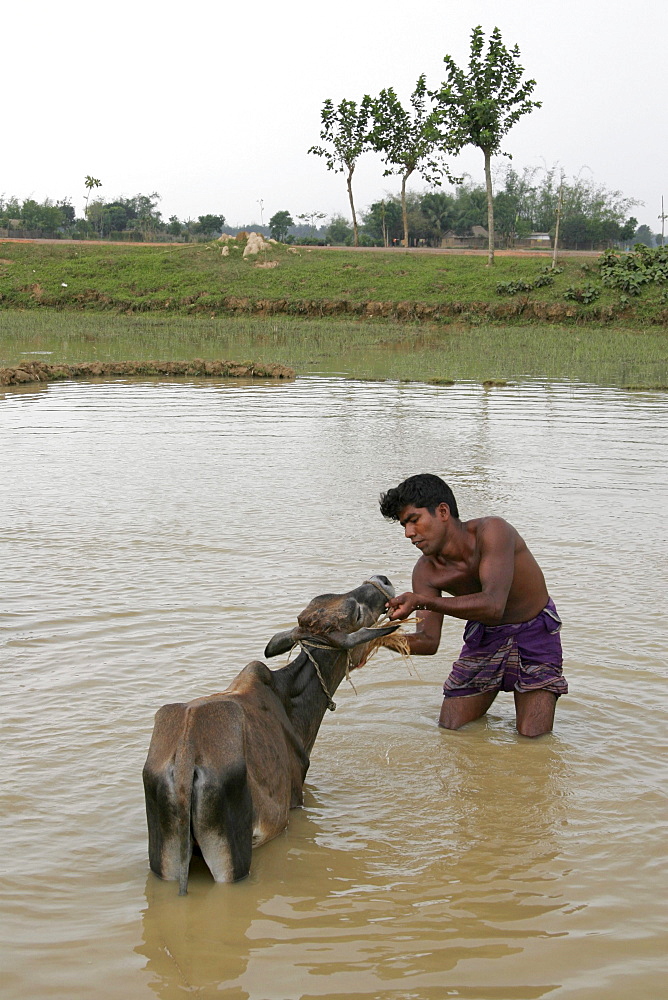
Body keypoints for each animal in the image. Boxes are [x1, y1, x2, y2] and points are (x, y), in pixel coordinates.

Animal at [142, 576, 400, 896]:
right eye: (356, 613)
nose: (382, 580)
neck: (293, 703)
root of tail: (187, 761)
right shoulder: (296, 797)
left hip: (165, 862)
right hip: (232, 861)